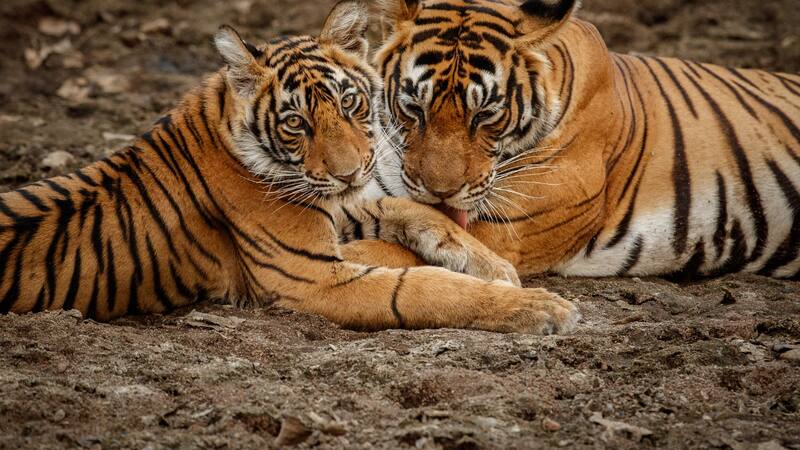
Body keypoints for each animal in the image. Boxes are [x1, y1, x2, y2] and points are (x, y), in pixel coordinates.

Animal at [0, 1, 580, 334]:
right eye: (296, 123)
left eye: (350, 103)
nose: (350, 171)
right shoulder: (310, 276)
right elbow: (420, 288)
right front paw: (542, 308)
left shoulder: (339, 207)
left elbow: (409, 209)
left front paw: (493, 265)